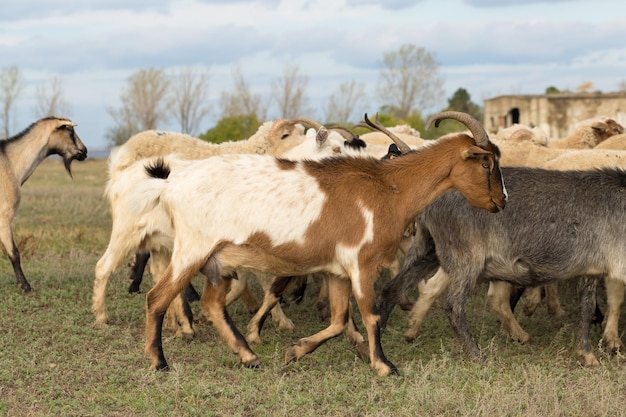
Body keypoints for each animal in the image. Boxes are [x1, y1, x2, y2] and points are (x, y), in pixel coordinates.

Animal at [0, 116, 86, 292]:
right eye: (70, 131)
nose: (85, 151)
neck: (11, 163)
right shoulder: (4, 217)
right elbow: (14, 253)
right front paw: (26, 287)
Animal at [130, 109, 502, 374]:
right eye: (486, 162)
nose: (502, 201)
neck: (387, 187)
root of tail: (171, 185)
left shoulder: (337, 271)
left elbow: (338, 321)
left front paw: (295, 350)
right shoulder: (361, 263)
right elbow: (370, 315)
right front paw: (385, 366)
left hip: (218, 262)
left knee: (212, 305)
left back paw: (249, 355)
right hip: (191, 250)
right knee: (157, 298)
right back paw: (159, 362)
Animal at [376, 164, 624, 366]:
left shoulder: (594, 269)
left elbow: (592, 307)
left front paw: (591, 352)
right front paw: (598, 352)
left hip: (427, 248)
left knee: (391, 288)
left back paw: (380, 344)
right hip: (466, 258)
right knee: (454, 306)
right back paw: (478, 356)